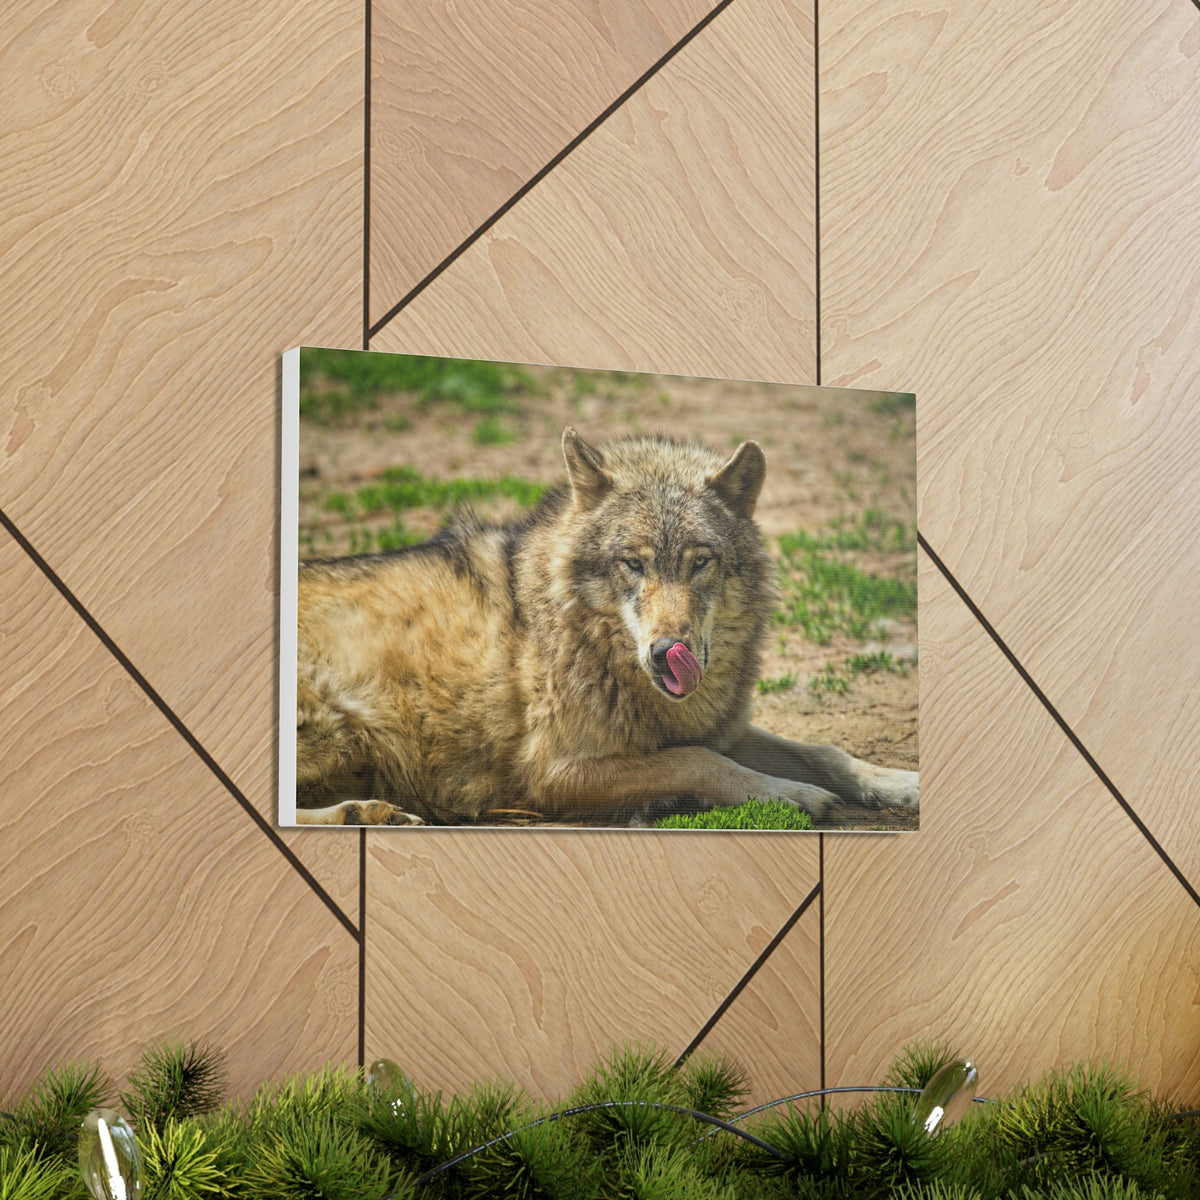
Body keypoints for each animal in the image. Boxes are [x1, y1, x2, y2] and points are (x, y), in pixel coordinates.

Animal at [293, 428, 918, 826]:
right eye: (633, 564)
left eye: (700, 561)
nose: (668, 652)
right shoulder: (553, 774)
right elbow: (701, 762)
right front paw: (790, 796)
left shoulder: (718, 728)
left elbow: (825, 751)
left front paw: (898, 783)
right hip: (337, 728)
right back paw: (360, 814)